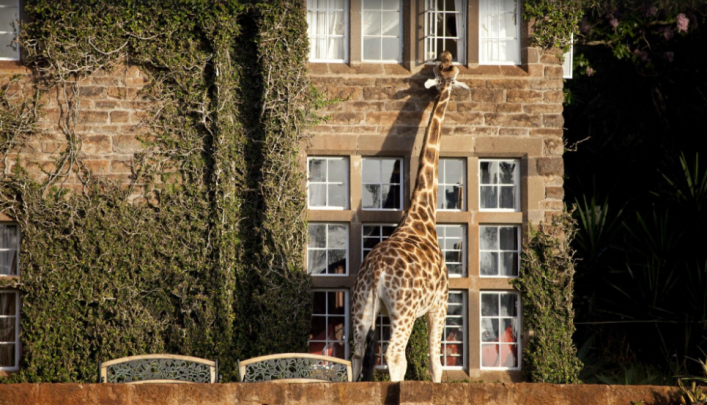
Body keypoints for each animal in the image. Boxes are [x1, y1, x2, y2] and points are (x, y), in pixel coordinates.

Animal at [351, 51, 469, 383]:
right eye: (450, 72)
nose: (448, 57)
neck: (422, 214)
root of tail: (376, 271)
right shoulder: (440, 302)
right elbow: (436, 361)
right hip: (403, 310)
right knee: (395, 355)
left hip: (362, 306)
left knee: (356, 354)